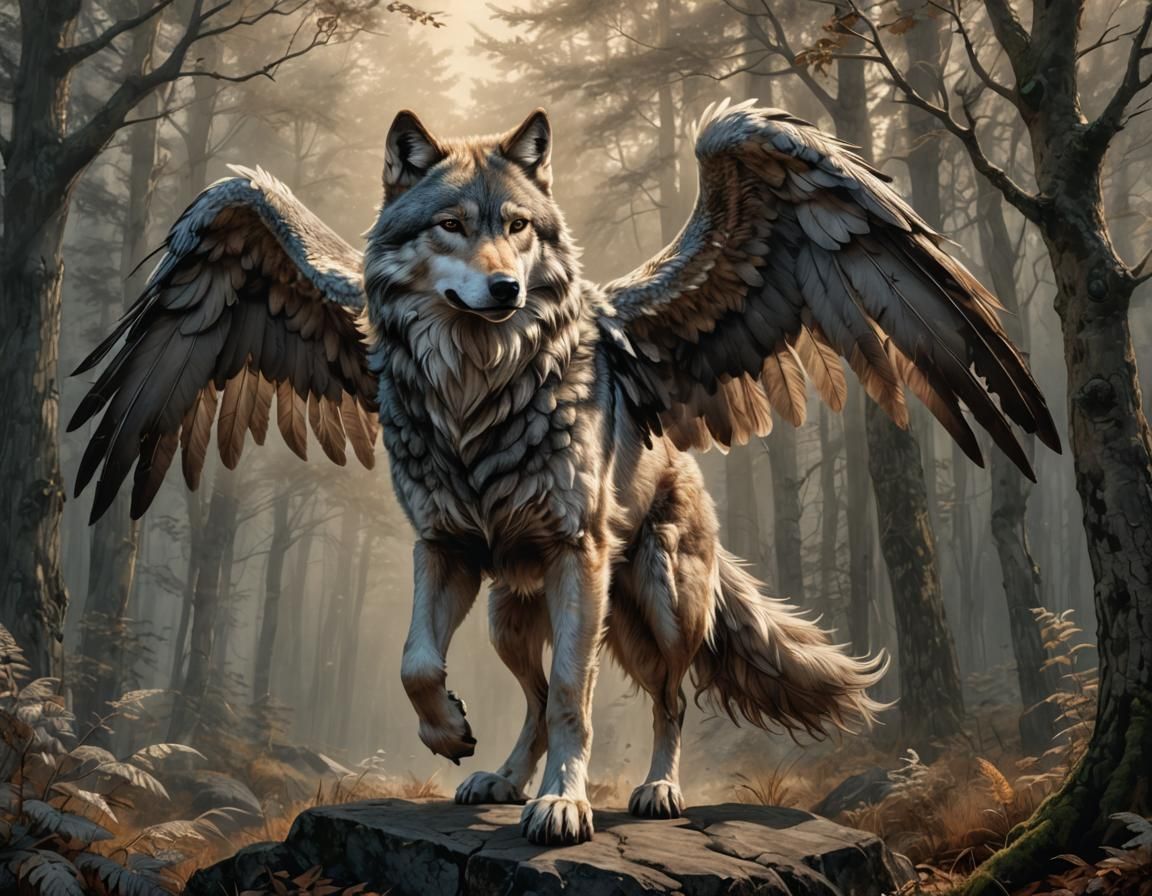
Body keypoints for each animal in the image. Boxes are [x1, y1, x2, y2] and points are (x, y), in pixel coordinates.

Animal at [71, 101, 1060, 846]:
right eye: (451, 227)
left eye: (516, 228)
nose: (507, 290)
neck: (476, 389)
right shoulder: (443, 549)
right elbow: (419, 664)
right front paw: (452, 735)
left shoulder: (577, 557)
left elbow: (580, 703)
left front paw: (565, 805)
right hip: (512, 612)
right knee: (535, 691)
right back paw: (505, 777)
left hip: (656, 596)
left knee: (664, 696)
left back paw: (654, 791)